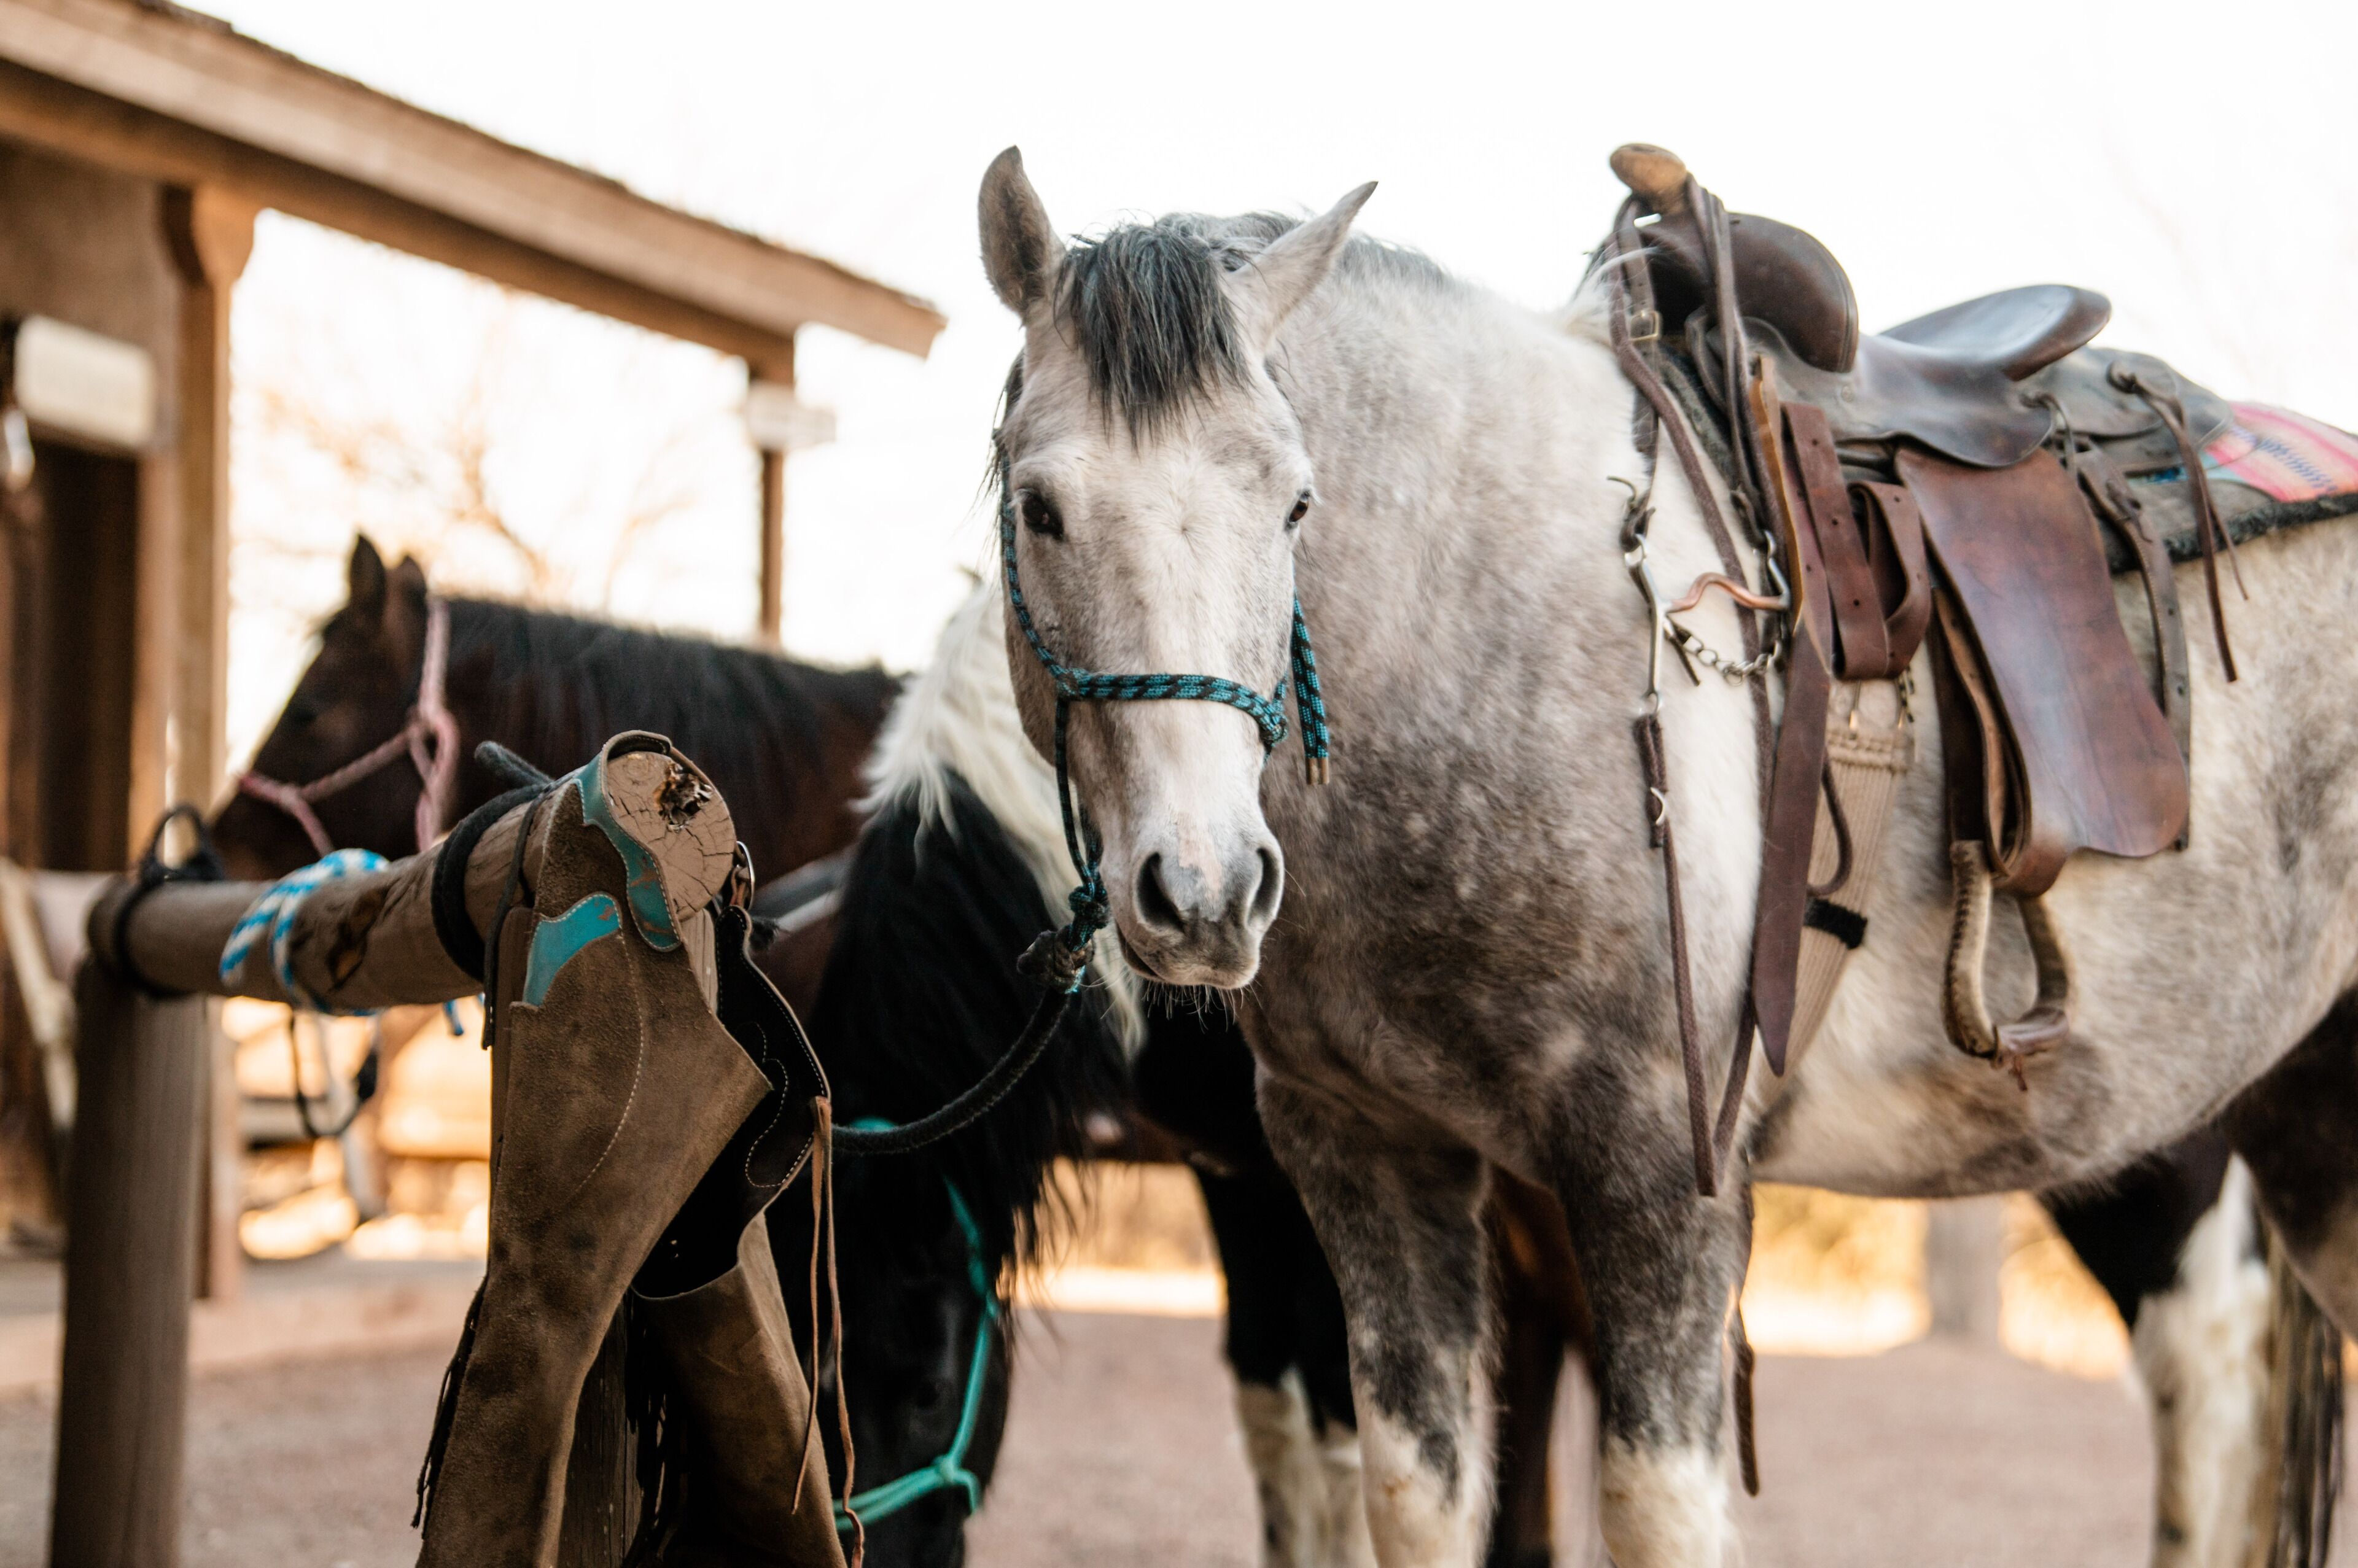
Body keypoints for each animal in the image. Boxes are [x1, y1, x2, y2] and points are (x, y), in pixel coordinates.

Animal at [971, 148, 2357, 1566]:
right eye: (1039, 506)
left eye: (1295, 500)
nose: (1204, 889)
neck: (1483, 635)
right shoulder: (1366, 1160)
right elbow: (1418, 1494)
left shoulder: (1659, 1182)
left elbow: (1656, 1509)